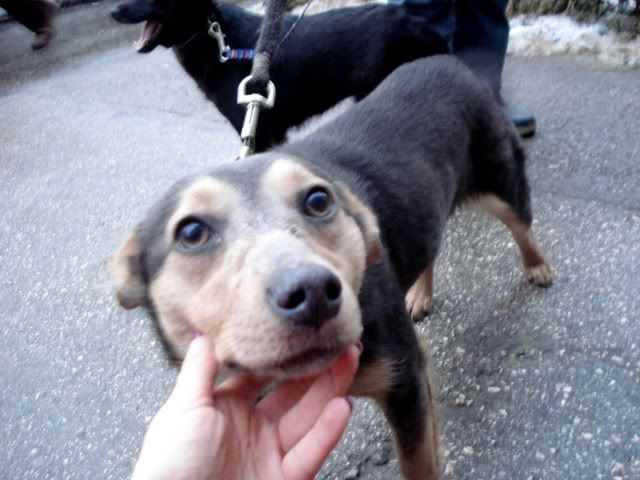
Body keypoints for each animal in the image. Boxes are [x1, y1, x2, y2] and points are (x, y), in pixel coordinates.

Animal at [112, 56, 553, 479]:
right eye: (191, 232)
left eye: (319, 201)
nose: (312, 294)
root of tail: (451, 62)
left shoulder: (404, 375)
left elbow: (418, 463)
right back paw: (420, 293)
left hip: (501, 181)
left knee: (522, 226)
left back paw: (538, 267)